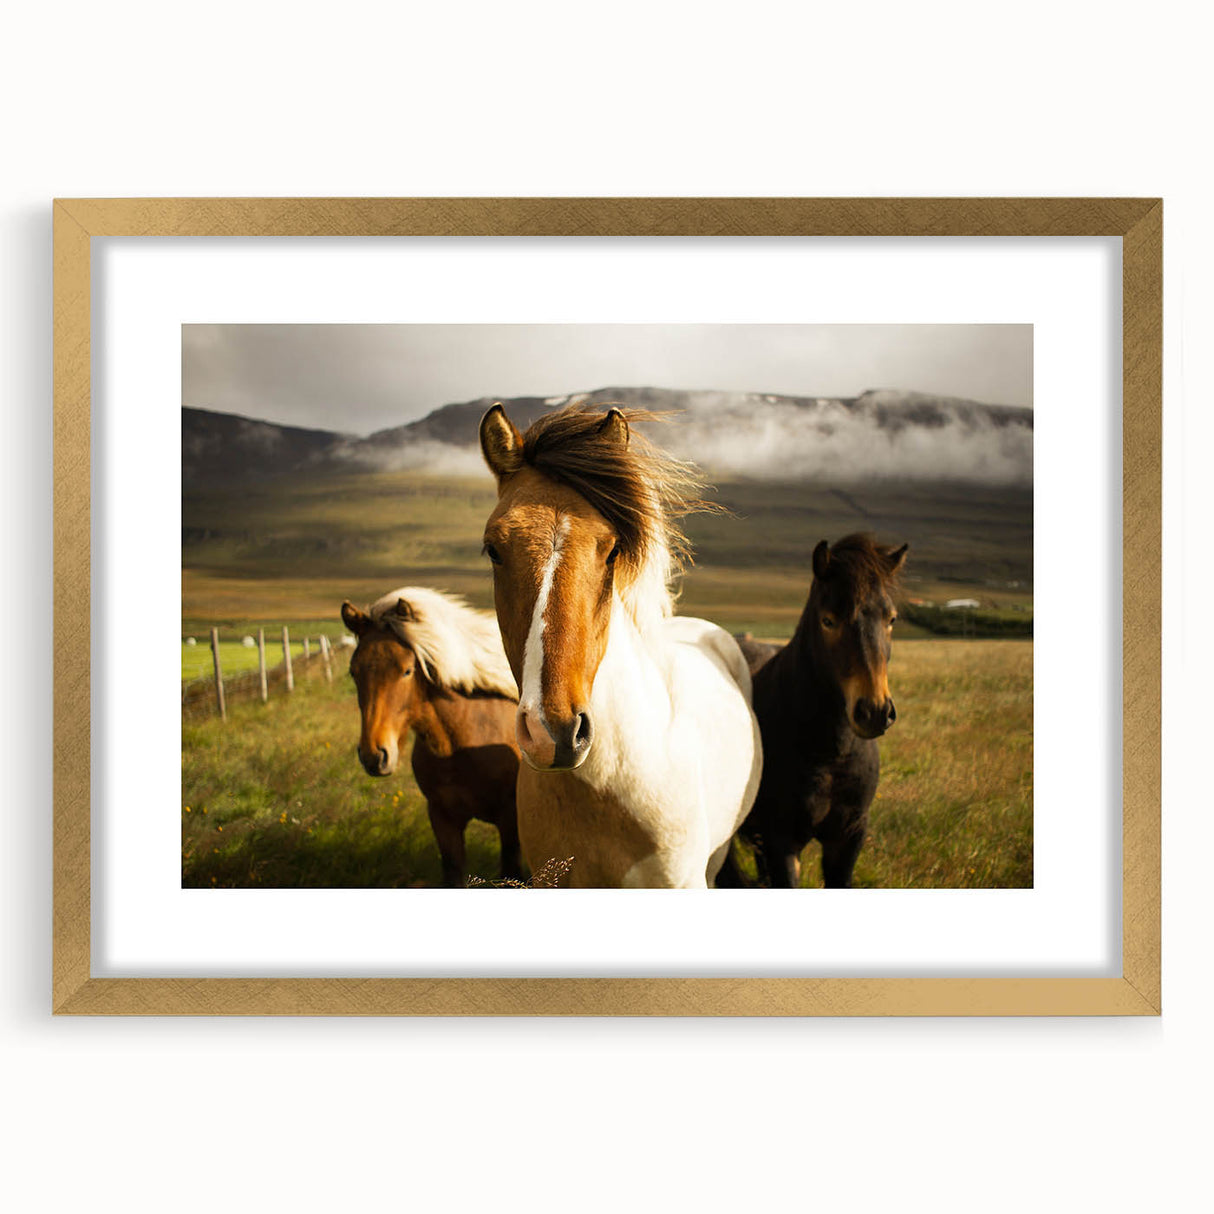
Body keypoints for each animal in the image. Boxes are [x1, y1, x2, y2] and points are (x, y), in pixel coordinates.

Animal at [340, 587, 523, 887]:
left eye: (407, 670)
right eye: (353, 671)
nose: (374, 755)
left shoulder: (510, 821)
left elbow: (513, 872)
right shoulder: (442, 818)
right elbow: (453, 872)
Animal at [718, 533, 907, 888]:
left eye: (891, 619)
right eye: (828, 620)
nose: (874, 711)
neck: (830, 754)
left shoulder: (848, 838)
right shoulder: (781, 842)